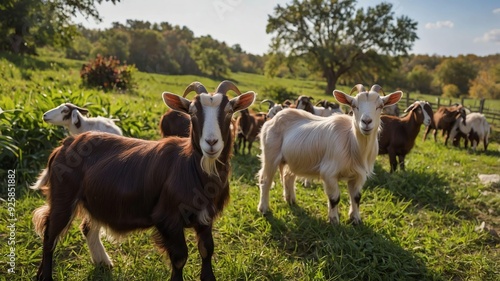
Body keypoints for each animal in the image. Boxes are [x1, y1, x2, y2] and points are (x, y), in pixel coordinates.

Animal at [33, 80, 256, 280]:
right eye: (192, 112)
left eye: (229, 111)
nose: (211, 142)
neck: (192, 168)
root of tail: (63, 145)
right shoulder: (167, 218)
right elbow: (179, 258)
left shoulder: (206, 216)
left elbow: (207, 250)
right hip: (63, 196)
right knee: (50, 235)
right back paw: (45, 275)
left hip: (92, 199)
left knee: (87, 228)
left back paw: (102, 262)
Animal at [258, 83, 402, 223]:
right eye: (354, 105)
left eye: (380, 106)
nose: (366, 122)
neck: (352, 142)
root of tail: (273, 117)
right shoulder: (329, 173)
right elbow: (334, 198)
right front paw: (334, 220)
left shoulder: (359, 175)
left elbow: (356, 197)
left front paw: (356, 218)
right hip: (270, 153)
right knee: (265, 180)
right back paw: (263, 209)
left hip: (293, 158)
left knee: (288, 176)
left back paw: (291, 200)